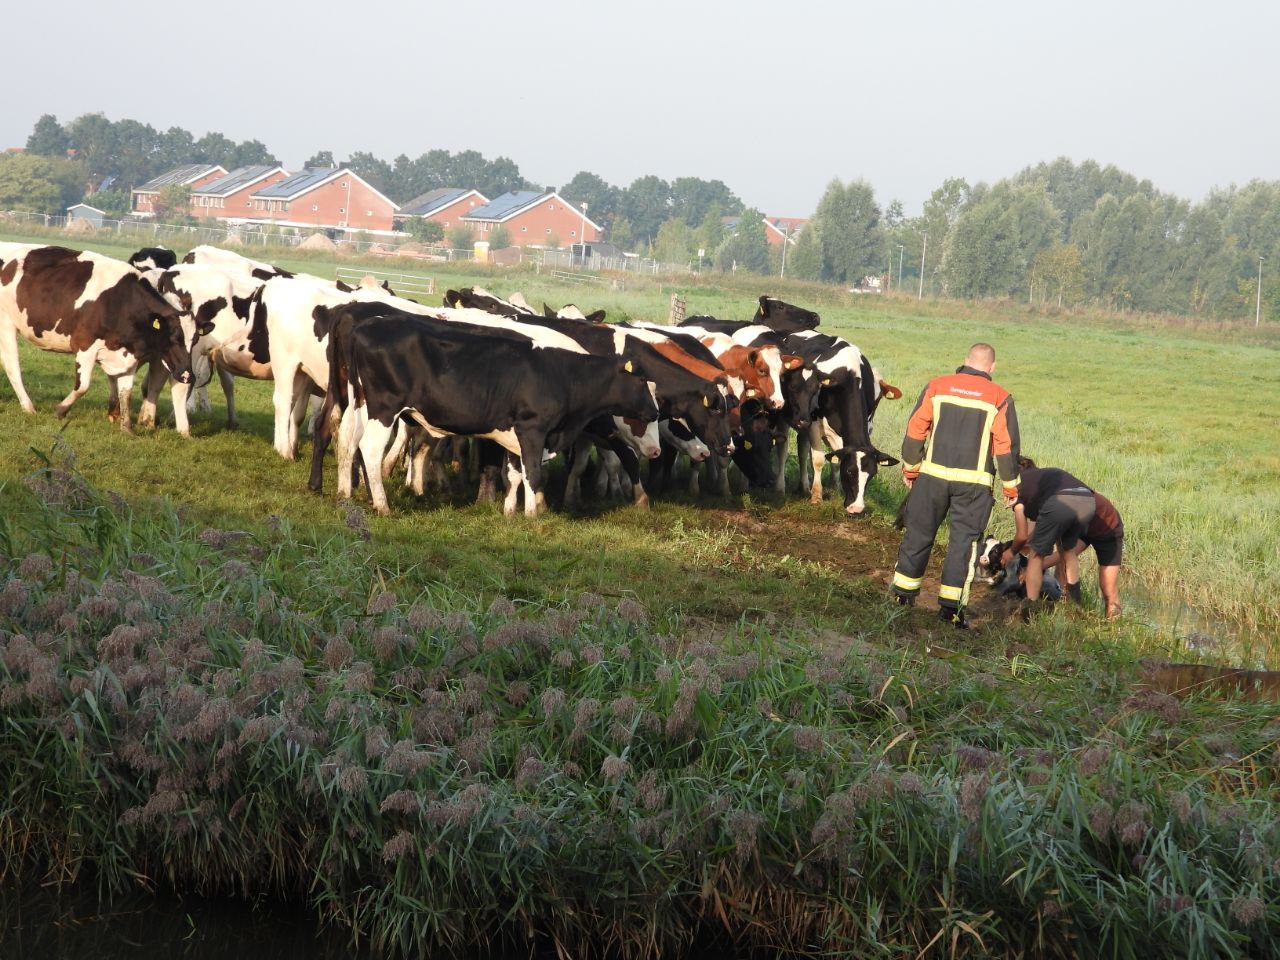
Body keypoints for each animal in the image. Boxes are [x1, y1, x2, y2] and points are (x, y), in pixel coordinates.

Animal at [0, 244, 203, 432]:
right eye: (174, 338)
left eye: (194, 340)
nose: (187, 375)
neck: (120, 303)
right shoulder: (85, 346)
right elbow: (82, 386)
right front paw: (60, 410)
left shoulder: (128, 355)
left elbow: (126, 393)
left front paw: (126, 427)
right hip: (6, 325)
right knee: (12, 366)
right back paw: (28, 407)